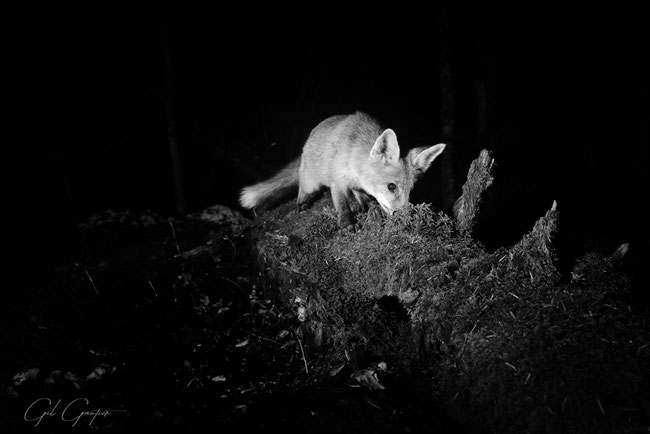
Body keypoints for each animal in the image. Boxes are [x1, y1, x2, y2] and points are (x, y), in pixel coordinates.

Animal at [238, 110, 446, 229]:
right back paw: (302, 201)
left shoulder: (353, 181)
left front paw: (366, 203)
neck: (353, 158)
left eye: (411, 190)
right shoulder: (336, 180)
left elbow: (358, 193)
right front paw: (346, 223)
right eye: (391, 187)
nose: (405, 217)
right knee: (302, 187)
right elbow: (341, 204)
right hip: (311, 181)